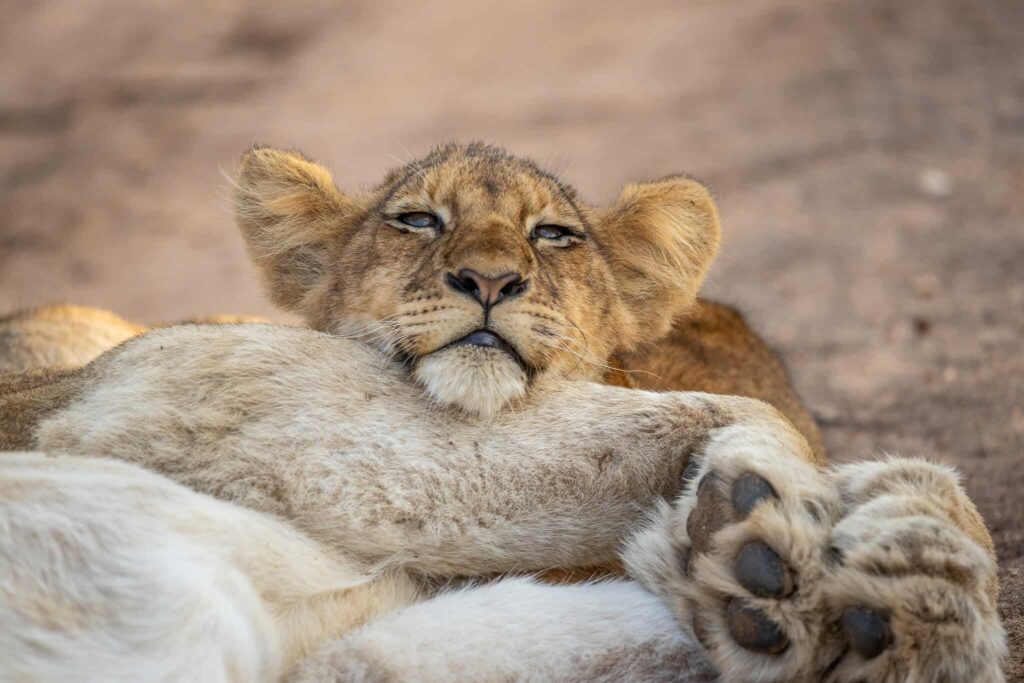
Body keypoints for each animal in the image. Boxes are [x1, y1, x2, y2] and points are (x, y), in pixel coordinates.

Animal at [0, 143, 1005, 681]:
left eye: (552, 234)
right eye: (416, 220)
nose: (489, 279)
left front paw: (890, 590)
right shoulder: (191, 399)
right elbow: (722, 415)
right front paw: (785, 545)